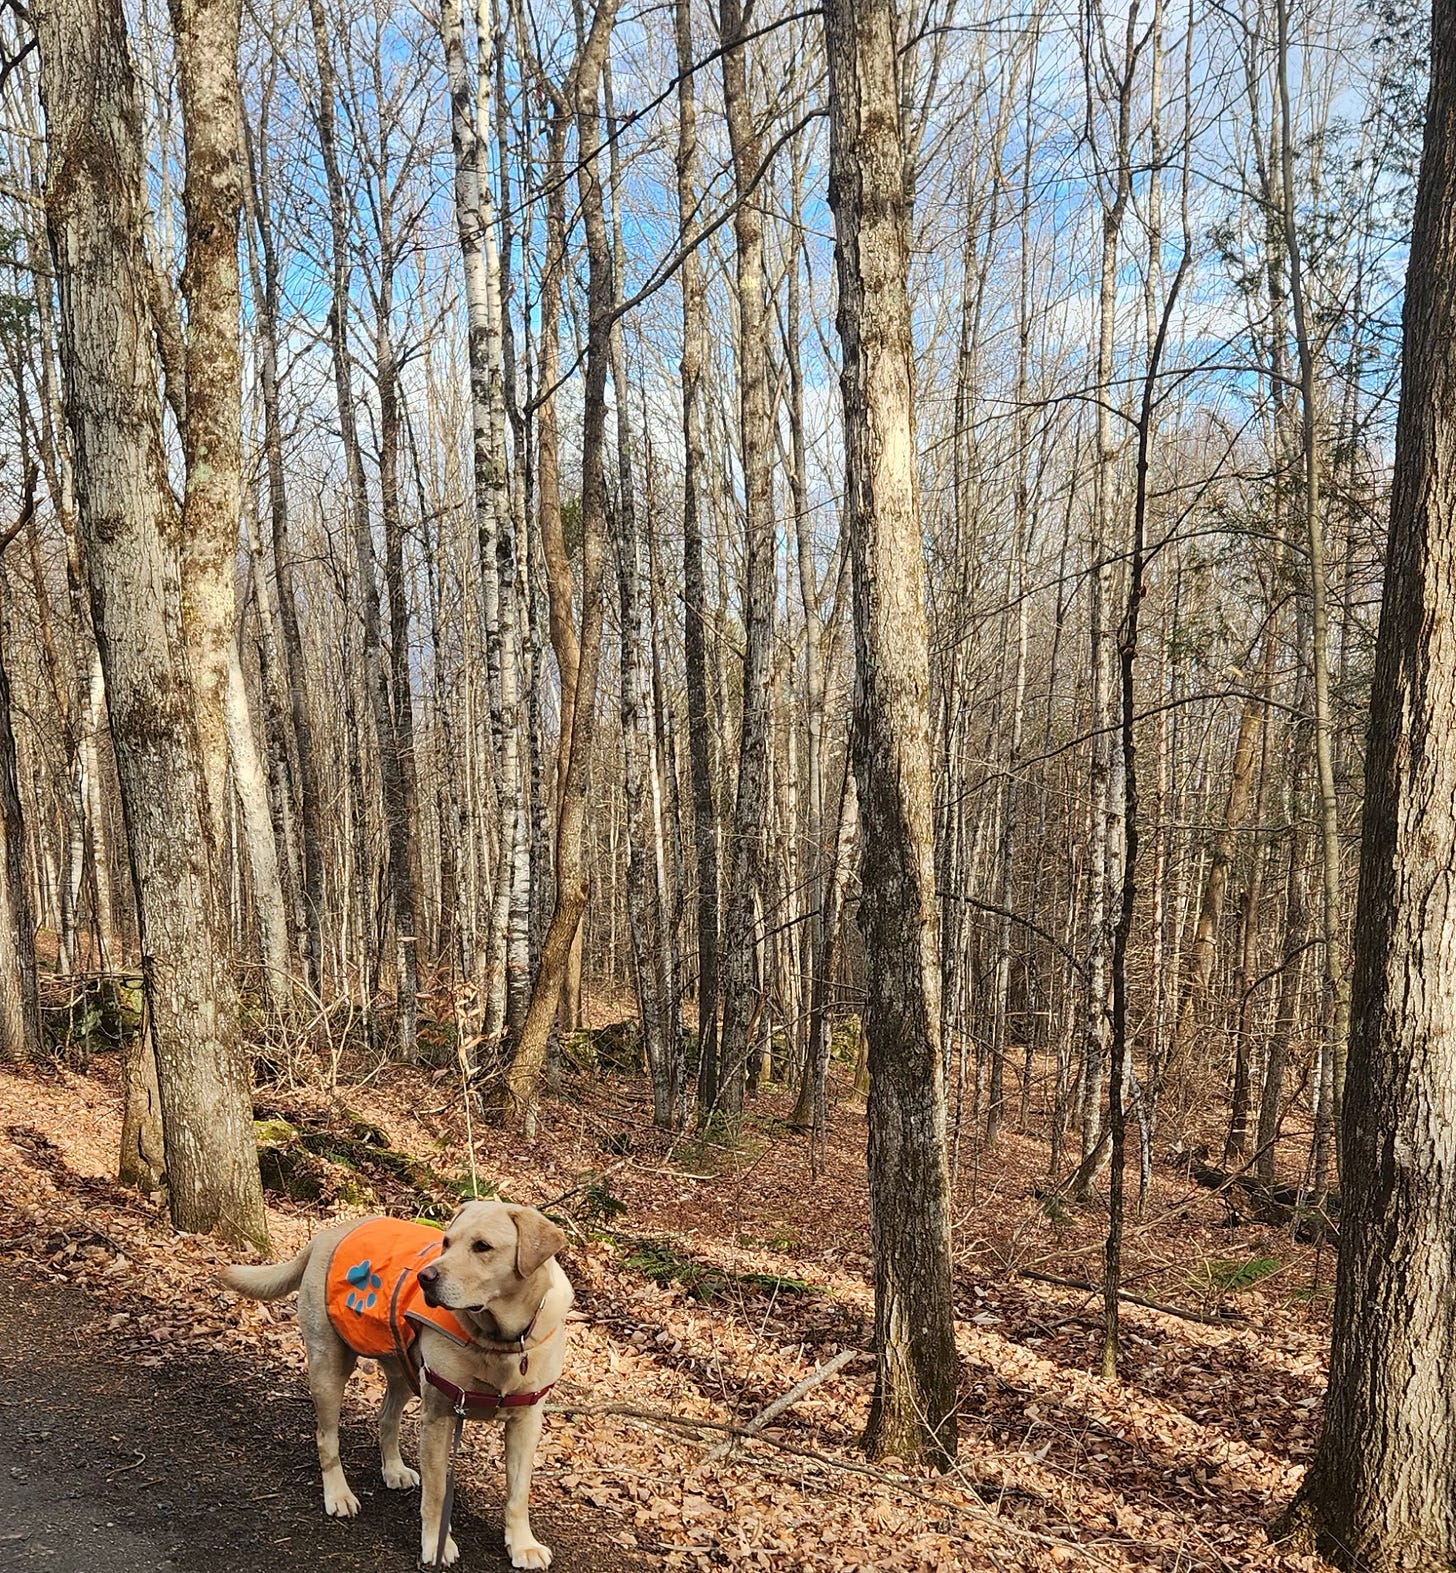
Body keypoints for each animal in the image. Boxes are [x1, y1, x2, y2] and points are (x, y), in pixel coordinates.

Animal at [220, 1201, 572, 1560]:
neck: (502, 1342)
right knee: (326, 1436)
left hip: (402, 1367)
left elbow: (518, 1492)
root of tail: (325, 1236)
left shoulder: (526, 1423)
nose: (425, 1277)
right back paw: (338, 1494)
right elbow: (436, 1491)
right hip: (329, 1366)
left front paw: (524, 1545)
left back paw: (393, 1469)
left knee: (386, 1416)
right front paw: (436, 1543)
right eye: (446, 1242)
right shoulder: (439, 1415)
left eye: (482, 1246)